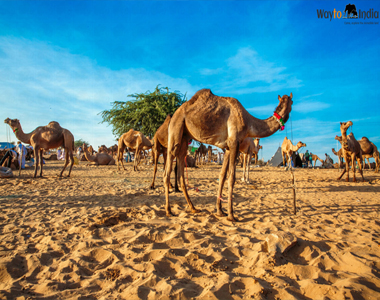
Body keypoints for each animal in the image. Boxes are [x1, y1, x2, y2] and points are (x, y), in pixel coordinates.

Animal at [162, 88, 292, 221]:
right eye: (292, 102)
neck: (248, 122)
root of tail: (174, 114)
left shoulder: (228, 147)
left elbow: (223, 175)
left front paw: (220, 211)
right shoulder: (234, 142)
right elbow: (232, 177)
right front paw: (231, 215)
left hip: (184, 138)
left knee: (181, 174)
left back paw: (193, 208)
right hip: (175, 130)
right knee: (167, 172)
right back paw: (168, 211)